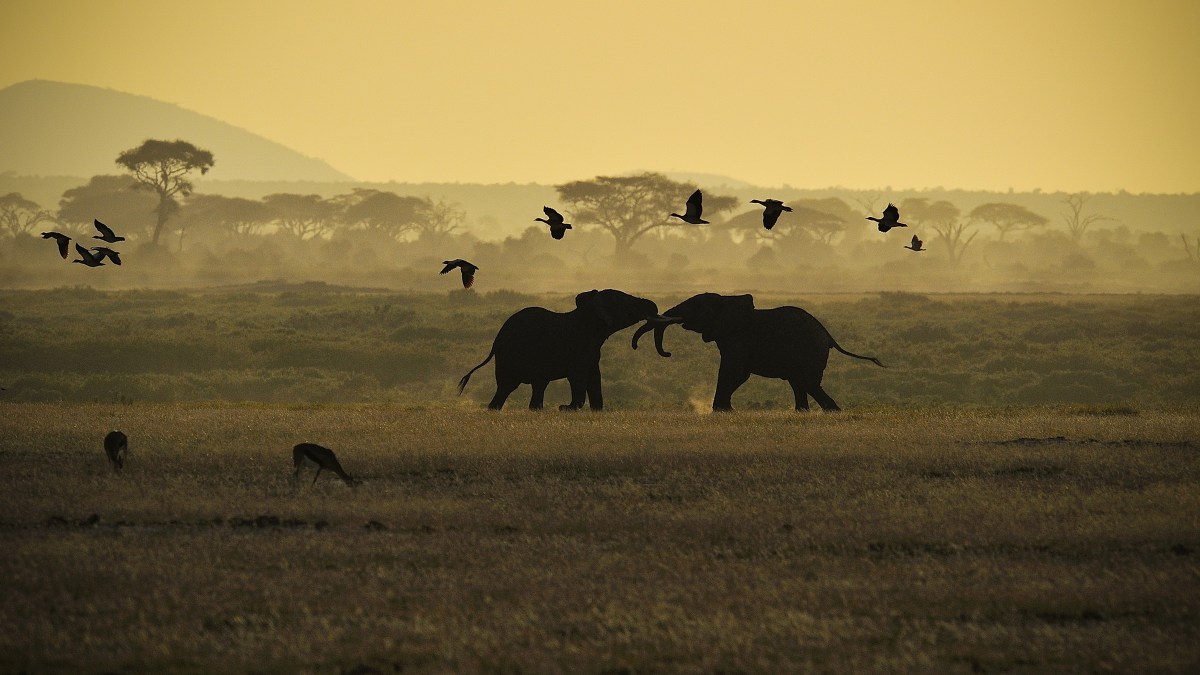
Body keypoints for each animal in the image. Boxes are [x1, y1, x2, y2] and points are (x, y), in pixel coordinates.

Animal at [458, 289, 662, 410]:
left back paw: (535, 409)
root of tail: (496, 341)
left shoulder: (592, 352)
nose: (652, 307)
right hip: (510, 358)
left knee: (537, 385)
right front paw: (567, 408)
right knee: (508, 386)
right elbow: (577, 378)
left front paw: (597, 410)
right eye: (626, 305)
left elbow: (594, 378)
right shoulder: (577, 349)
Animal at [632, 293, 885, 412]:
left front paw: (722, 412)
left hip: (810, 352)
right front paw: (726, 411)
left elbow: (733, 371)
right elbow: (738, 374)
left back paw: (833, 412)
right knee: (799, 383)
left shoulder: (737, 339)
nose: (668, 354)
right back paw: (806, 413)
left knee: (807, 382)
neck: (726, 300)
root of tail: (829, 336)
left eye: (696, 307)